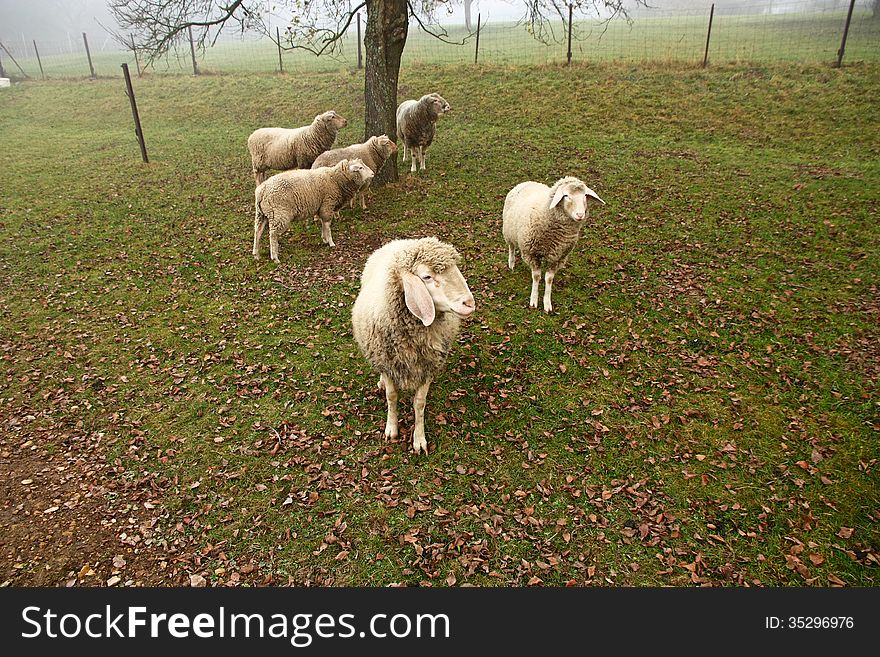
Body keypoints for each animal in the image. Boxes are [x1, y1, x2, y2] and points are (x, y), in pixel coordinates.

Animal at [350, 237, 474, 456]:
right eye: (427, 276)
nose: (469, 303)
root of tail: (399, 241)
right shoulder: (387, 363)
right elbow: (392, 396)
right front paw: (391, 429)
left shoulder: (428, 366)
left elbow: (419, 403)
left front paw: (419, 439)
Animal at [502, 176, 604, 312]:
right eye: (566, 195)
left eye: (585, 196)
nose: (580, 215)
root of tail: (527, 182)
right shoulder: (531, 253)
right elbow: (536, 276)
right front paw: (533, 300)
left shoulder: (557, 256)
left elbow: (549, 279)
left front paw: (547, 303)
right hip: (509, 231)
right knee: (511, 247)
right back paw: (511, 263)